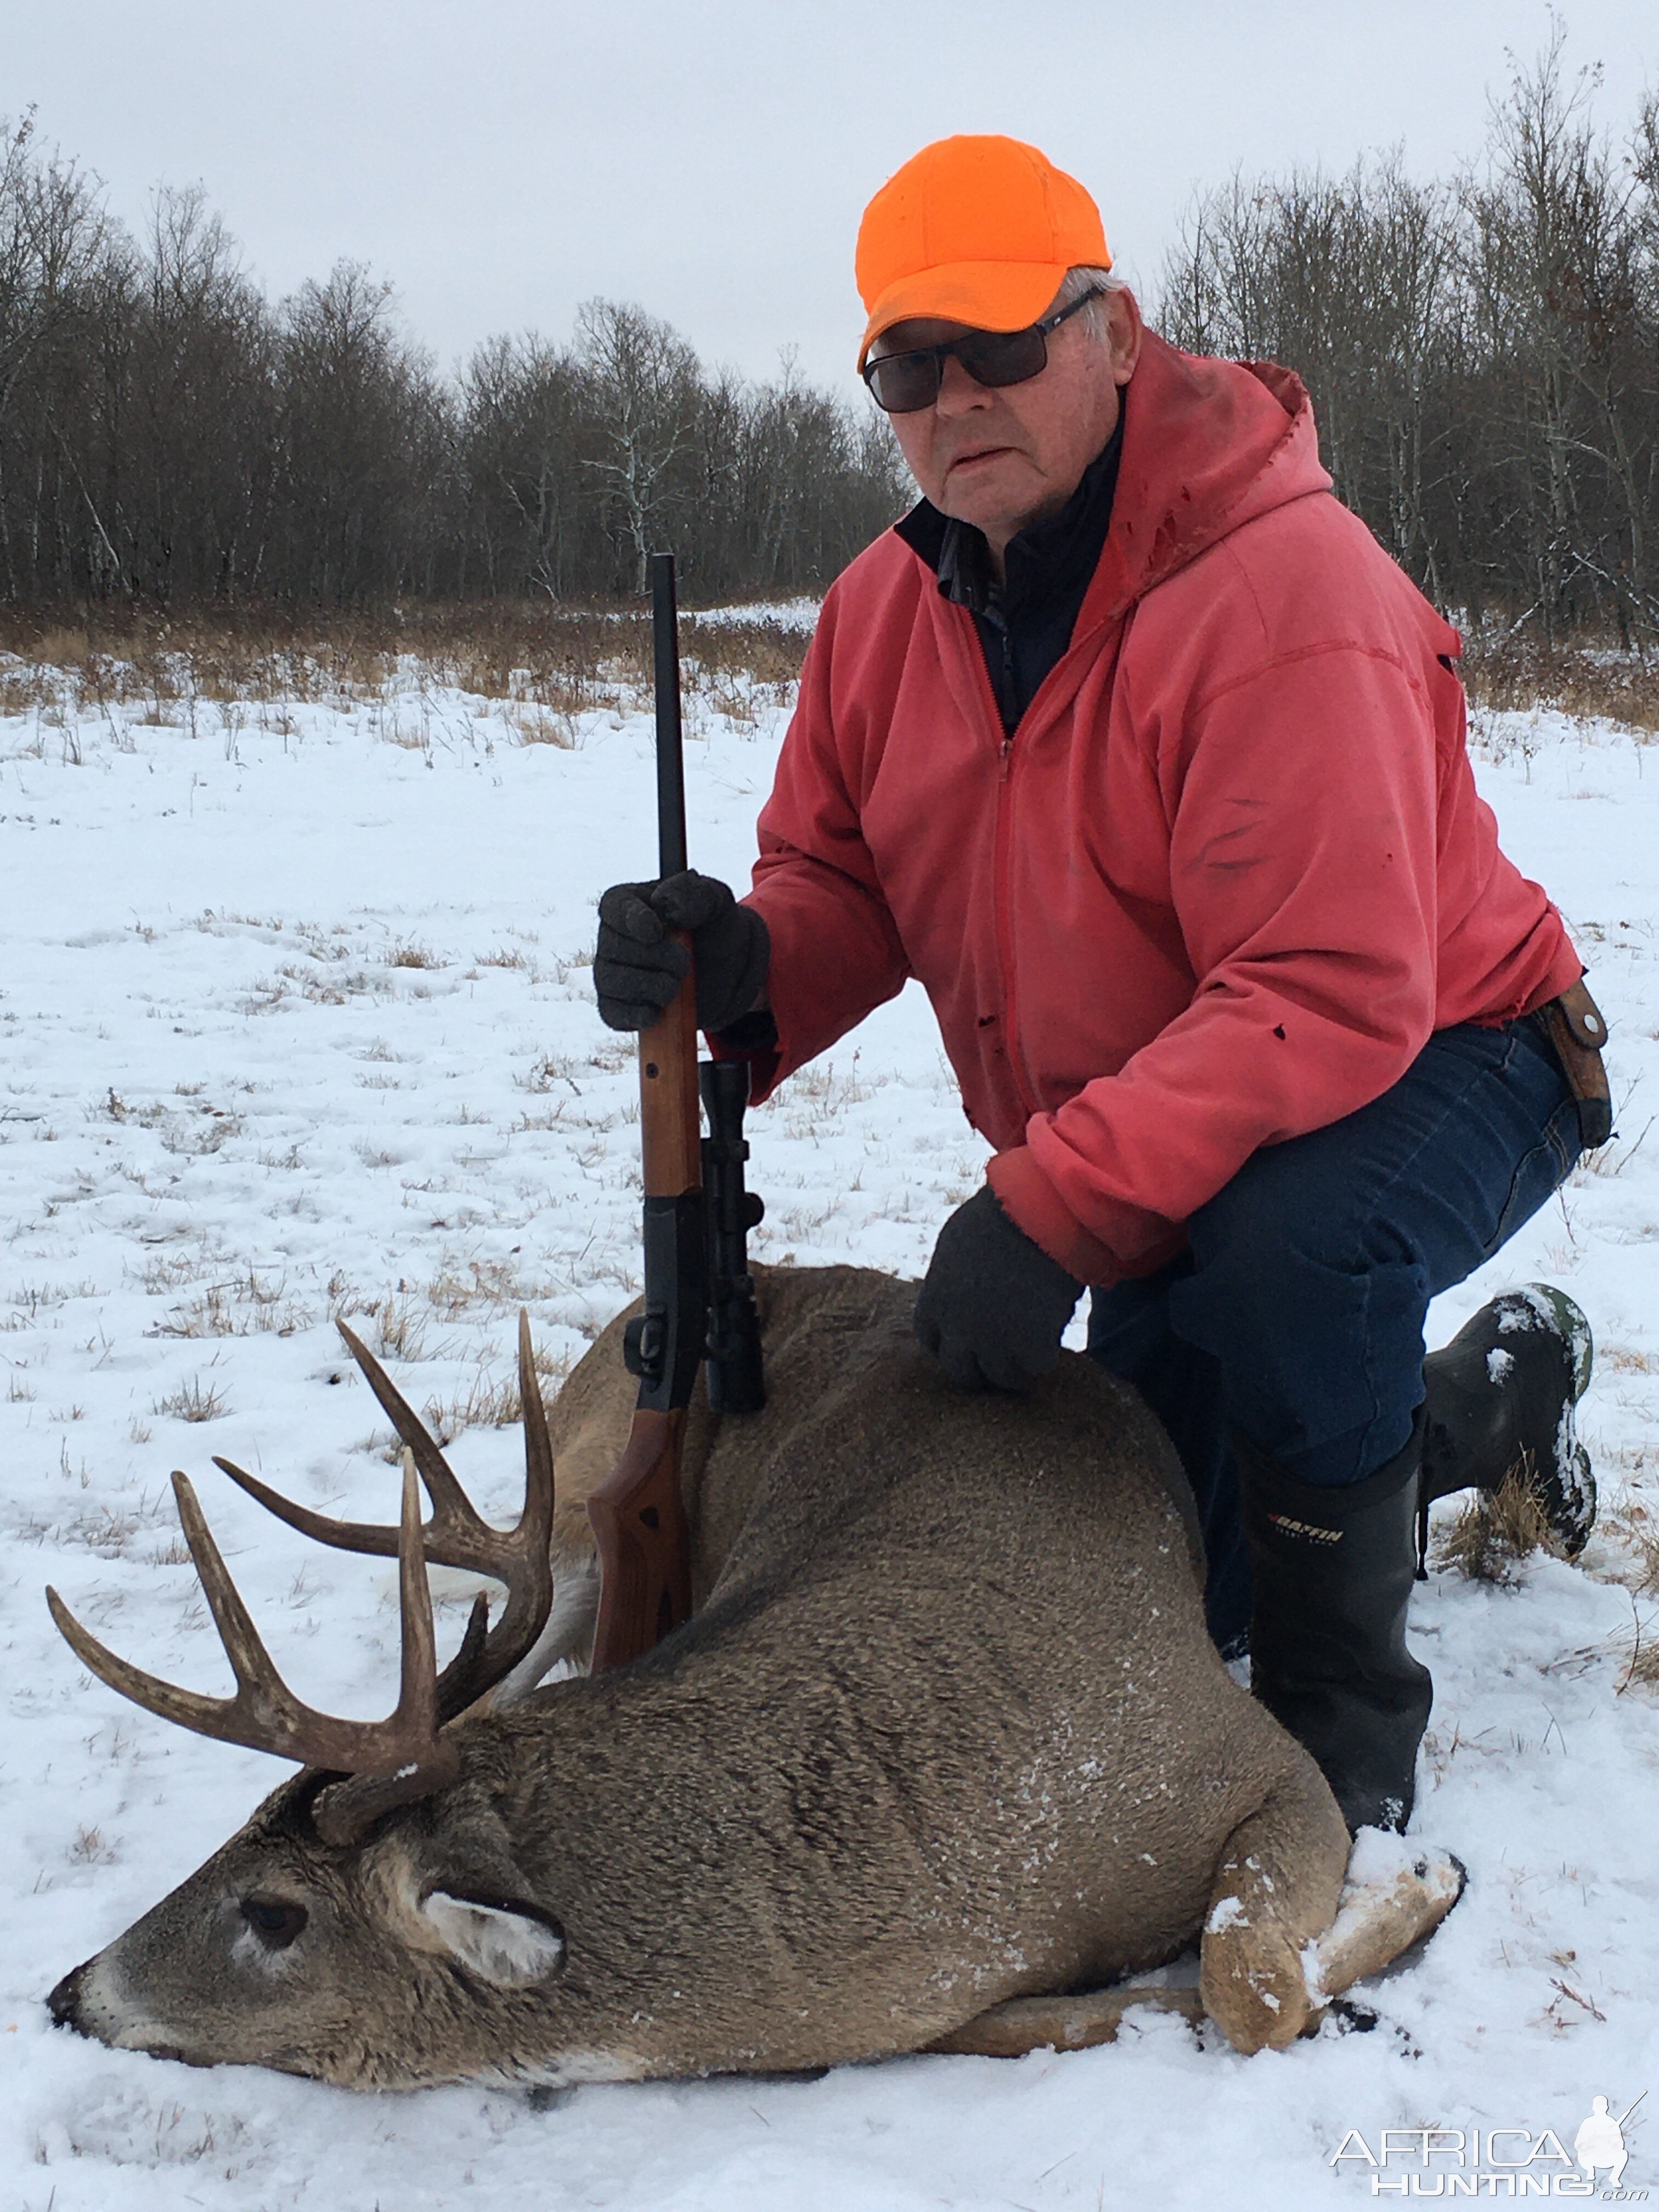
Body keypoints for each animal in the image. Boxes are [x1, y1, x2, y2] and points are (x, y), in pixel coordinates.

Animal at [45, 1274, 1460, 2079]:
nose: (68, 1992)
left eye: (274, 1914)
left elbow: (1245, 1984)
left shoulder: (1238, 1746)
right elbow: (1151, 2005)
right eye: (231, 1837)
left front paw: (1427, 1884)